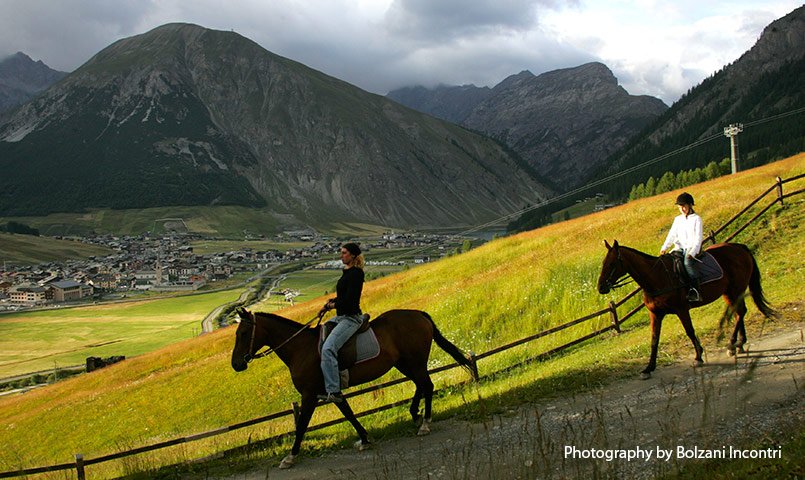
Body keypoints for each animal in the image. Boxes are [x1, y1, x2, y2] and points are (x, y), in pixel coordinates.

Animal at [229, 308, 474, 468]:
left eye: (243, 334)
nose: (236, 364)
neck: (300, 348)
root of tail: (418, 314)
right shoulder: (332, 392)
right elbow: (347, 413)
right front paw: (364, 439)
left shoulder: (310, 395)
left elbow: (302, 425)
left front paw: (290, 456)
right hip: (404, 363)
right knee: (420, 385)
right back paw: (415, 414)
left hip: (415, 361)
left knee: (427, 385)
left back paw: (424, 423)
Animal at [596, 240, 772, 378]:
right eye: (603, 263)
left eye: (611, 263)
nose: (601, 287)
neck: (656, 278)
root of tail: (739, 247)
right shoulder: (655, 314)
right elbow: (654, 339)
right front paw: (649, 368)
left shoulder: (681, 309)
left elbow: (690, 331)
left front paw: (698, 357)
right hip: (729, 293)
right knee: (738, 313)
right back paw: (739, 344)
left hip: (736, 290)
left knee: (740, 312)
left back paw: (732, 346)